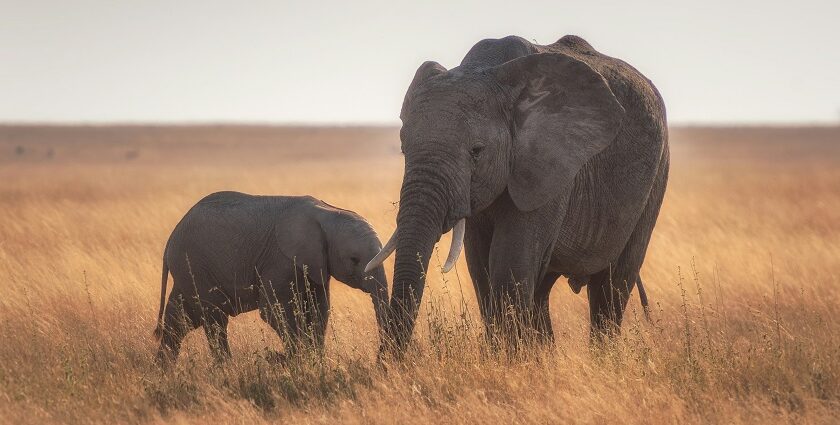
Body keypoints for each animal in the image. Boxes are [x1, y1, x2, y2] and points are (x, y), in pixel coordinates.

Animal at [154, 191, 390, 362]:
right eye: (354, 259)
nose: (380, 358)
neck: (328, 212)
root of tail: (170, 240)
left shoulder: (315, 264)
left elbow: (319, 309)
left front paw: (315, 361)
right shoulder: (280, 260)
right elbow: (274, 311)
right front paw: (298, 361)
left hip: (189, 271)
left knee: (180, 320)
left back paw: (164, 372)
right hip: (194, 266)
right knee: (214, 319)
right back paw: (226, 369)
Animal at [368, 34, 668, 352]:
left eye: (477, 151)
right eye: (404, 149)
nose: (389, 361)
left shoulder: (550, 165)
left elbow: (509, 264)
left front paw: (510, 359)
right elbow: (481, 267)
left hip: (656, 176)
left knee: (612, 286)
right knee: (542, 290)